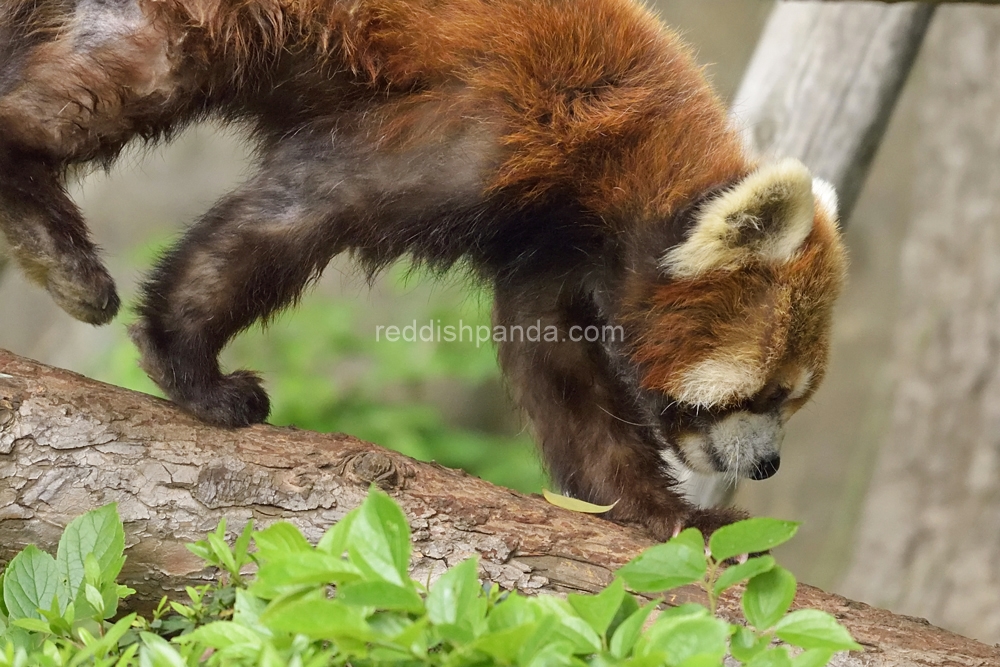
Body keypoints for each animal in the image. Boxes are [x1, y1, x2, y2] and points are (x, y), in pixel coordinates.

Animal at [0, 0, 844, 536]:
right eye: (765, 392)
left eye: (794, 399)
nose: (768, 463)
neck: (621, 167)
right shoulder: (474, 122)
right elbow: (295, 212)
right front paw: (193, 368)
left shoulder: (548, 249)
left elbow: (565, 380)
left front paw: (665, 511)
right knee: (116, 80)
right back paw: (46, 233)